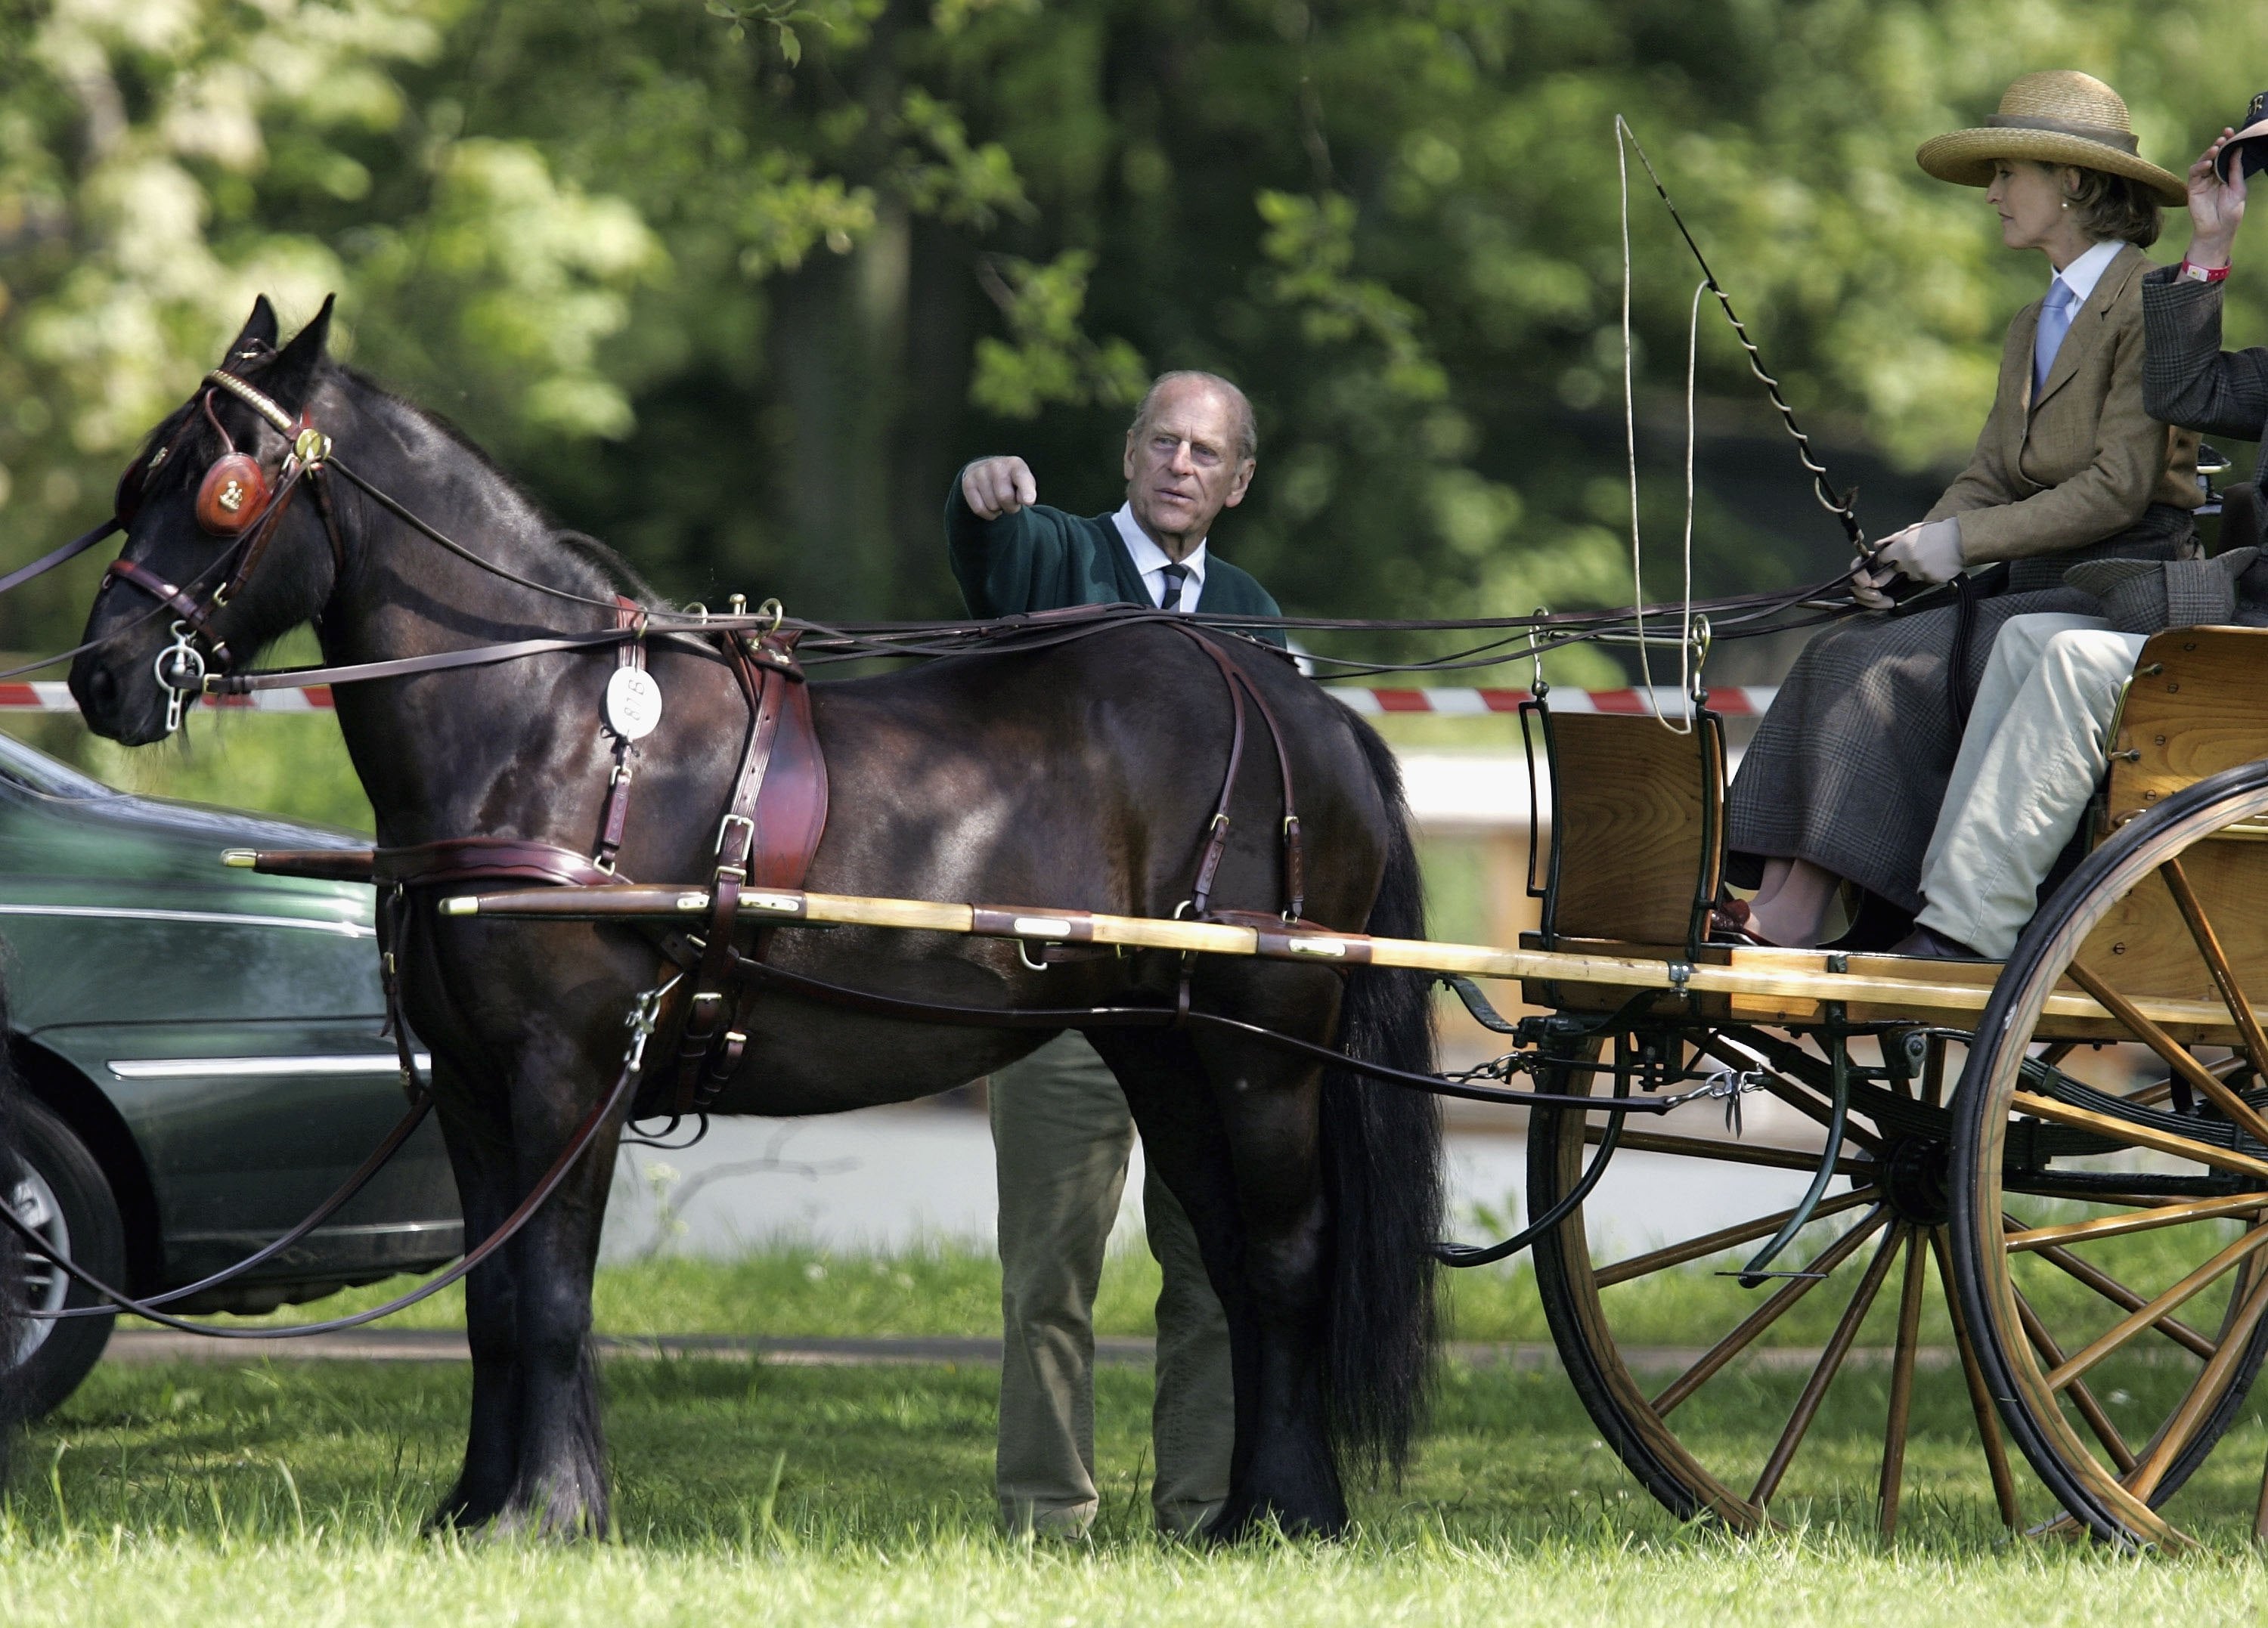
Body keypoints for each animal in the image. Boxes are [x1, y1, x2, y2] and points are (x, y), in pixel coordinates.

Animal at [79, 304, 1442, 1542]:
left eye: (222, 487)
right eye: (141, 475)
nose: (101, 673)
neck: (549, 728)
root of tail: (1296, 699)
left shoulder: (569, 1070)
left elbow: (552, 1297)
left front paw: (551, 1511)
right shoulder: (470, 1082)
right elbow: (493, 1303)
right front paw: (473, 1506)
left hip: (1262, 1047)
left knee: (1287, 1257)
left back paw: (1293, 1511)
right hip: (1166, 1047)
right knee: (1232, 1256)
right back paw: (1248, 1511)